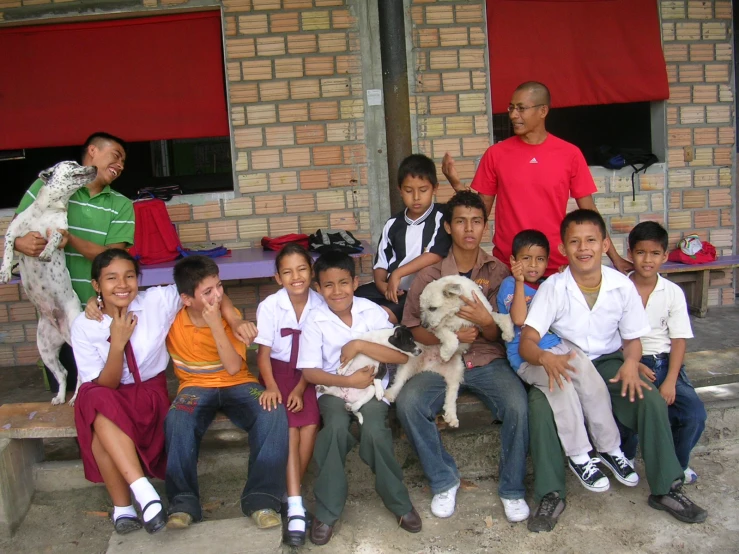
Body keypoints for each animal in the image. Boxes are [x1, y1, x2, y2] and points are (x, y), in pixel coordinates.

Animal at [0, 162, 98, 404]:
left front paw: (45, 253)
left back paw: (74, 399)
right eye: (73, 164)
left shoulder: (59, 231)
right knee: (62, 372)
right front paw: (5, 271)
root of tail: (57, 326)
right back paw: (60, 397)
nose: (93, 166)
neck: (48, 208)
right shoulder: (13, 231)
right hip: (45, 348)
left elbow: (53, 238)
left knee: (80, 373)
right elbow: (8, 246)